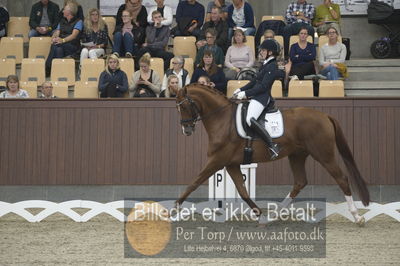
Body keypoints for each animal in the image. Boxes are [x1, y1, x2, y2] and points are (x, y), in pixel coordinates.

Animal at [177, 84, 370, 225]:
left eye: (185, 106)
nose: (186, 130)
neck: (222, 119)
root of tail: (325, 116)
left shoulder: (217, 160)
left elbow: (194, 183)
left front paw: (175, 209)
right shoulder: (230, 164)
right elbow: (243, 191)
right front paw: (260, 215)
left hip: (324, 154)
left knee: (341, 179)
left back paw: (357, 216)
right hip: (297, 155)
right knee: (300, 182)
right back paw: (275, 213)